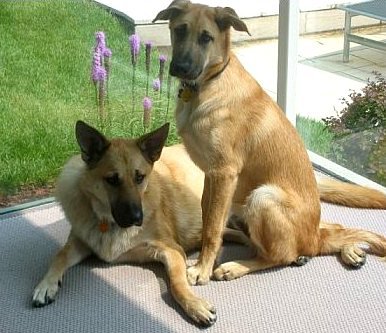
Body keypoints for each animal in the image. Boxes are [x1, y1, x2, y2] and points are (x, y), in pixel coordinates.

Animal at [31, 120, 225, 324]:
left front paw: (194, 304)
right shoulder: (80, 242)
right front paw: (46, 284)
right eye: (112, 180)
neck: (108, 221)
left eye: (139, 177)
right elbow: (59, 255)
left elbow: (177, 283)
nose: (137, 218)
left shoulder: (172, 249)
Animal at [153, 0, 386, 286]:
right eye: (179, 30)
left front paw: (202, 268)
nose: (181, 67)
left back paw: (236, 266)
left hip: (263, 196)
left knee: (280, 256)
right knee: (329, 232)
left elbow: (213, 229)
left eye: (206, 37)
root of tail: (313, 239)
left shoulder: (224, 173)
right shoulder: (212, 175)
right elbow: (208, 218)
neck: (209, 83)